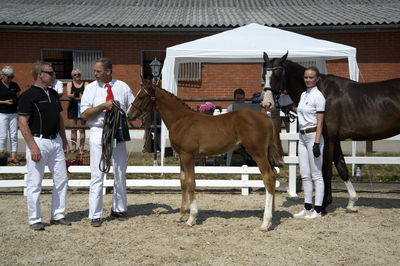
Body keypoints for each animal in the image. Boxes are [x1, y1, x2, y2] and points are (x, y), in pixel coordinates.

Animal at [126, 79, 282, 231]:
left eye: (141, 96)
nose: (129, 115)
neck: (181, 120)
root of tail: (266, 118)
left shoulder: (188, 156)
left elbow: (191, 182)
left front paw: (191, 218)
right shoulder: (182, 157)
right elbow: (183, 182)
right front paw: (181, 215)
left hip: (258, 153)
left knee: (268, 177)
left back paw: (265, 223)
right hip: (265, 153)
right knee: (273, 174)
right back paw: (272, 214)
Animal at [262, 52, 400, 214]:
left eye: (277, 74)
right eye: (264, 74)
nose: (267, 103)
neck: (322, 92)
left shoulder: (328, 140)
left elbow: (326, 170)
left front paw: (323, 206)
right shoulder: (336, 140)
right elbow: (342, 168)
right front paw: (351, 202)